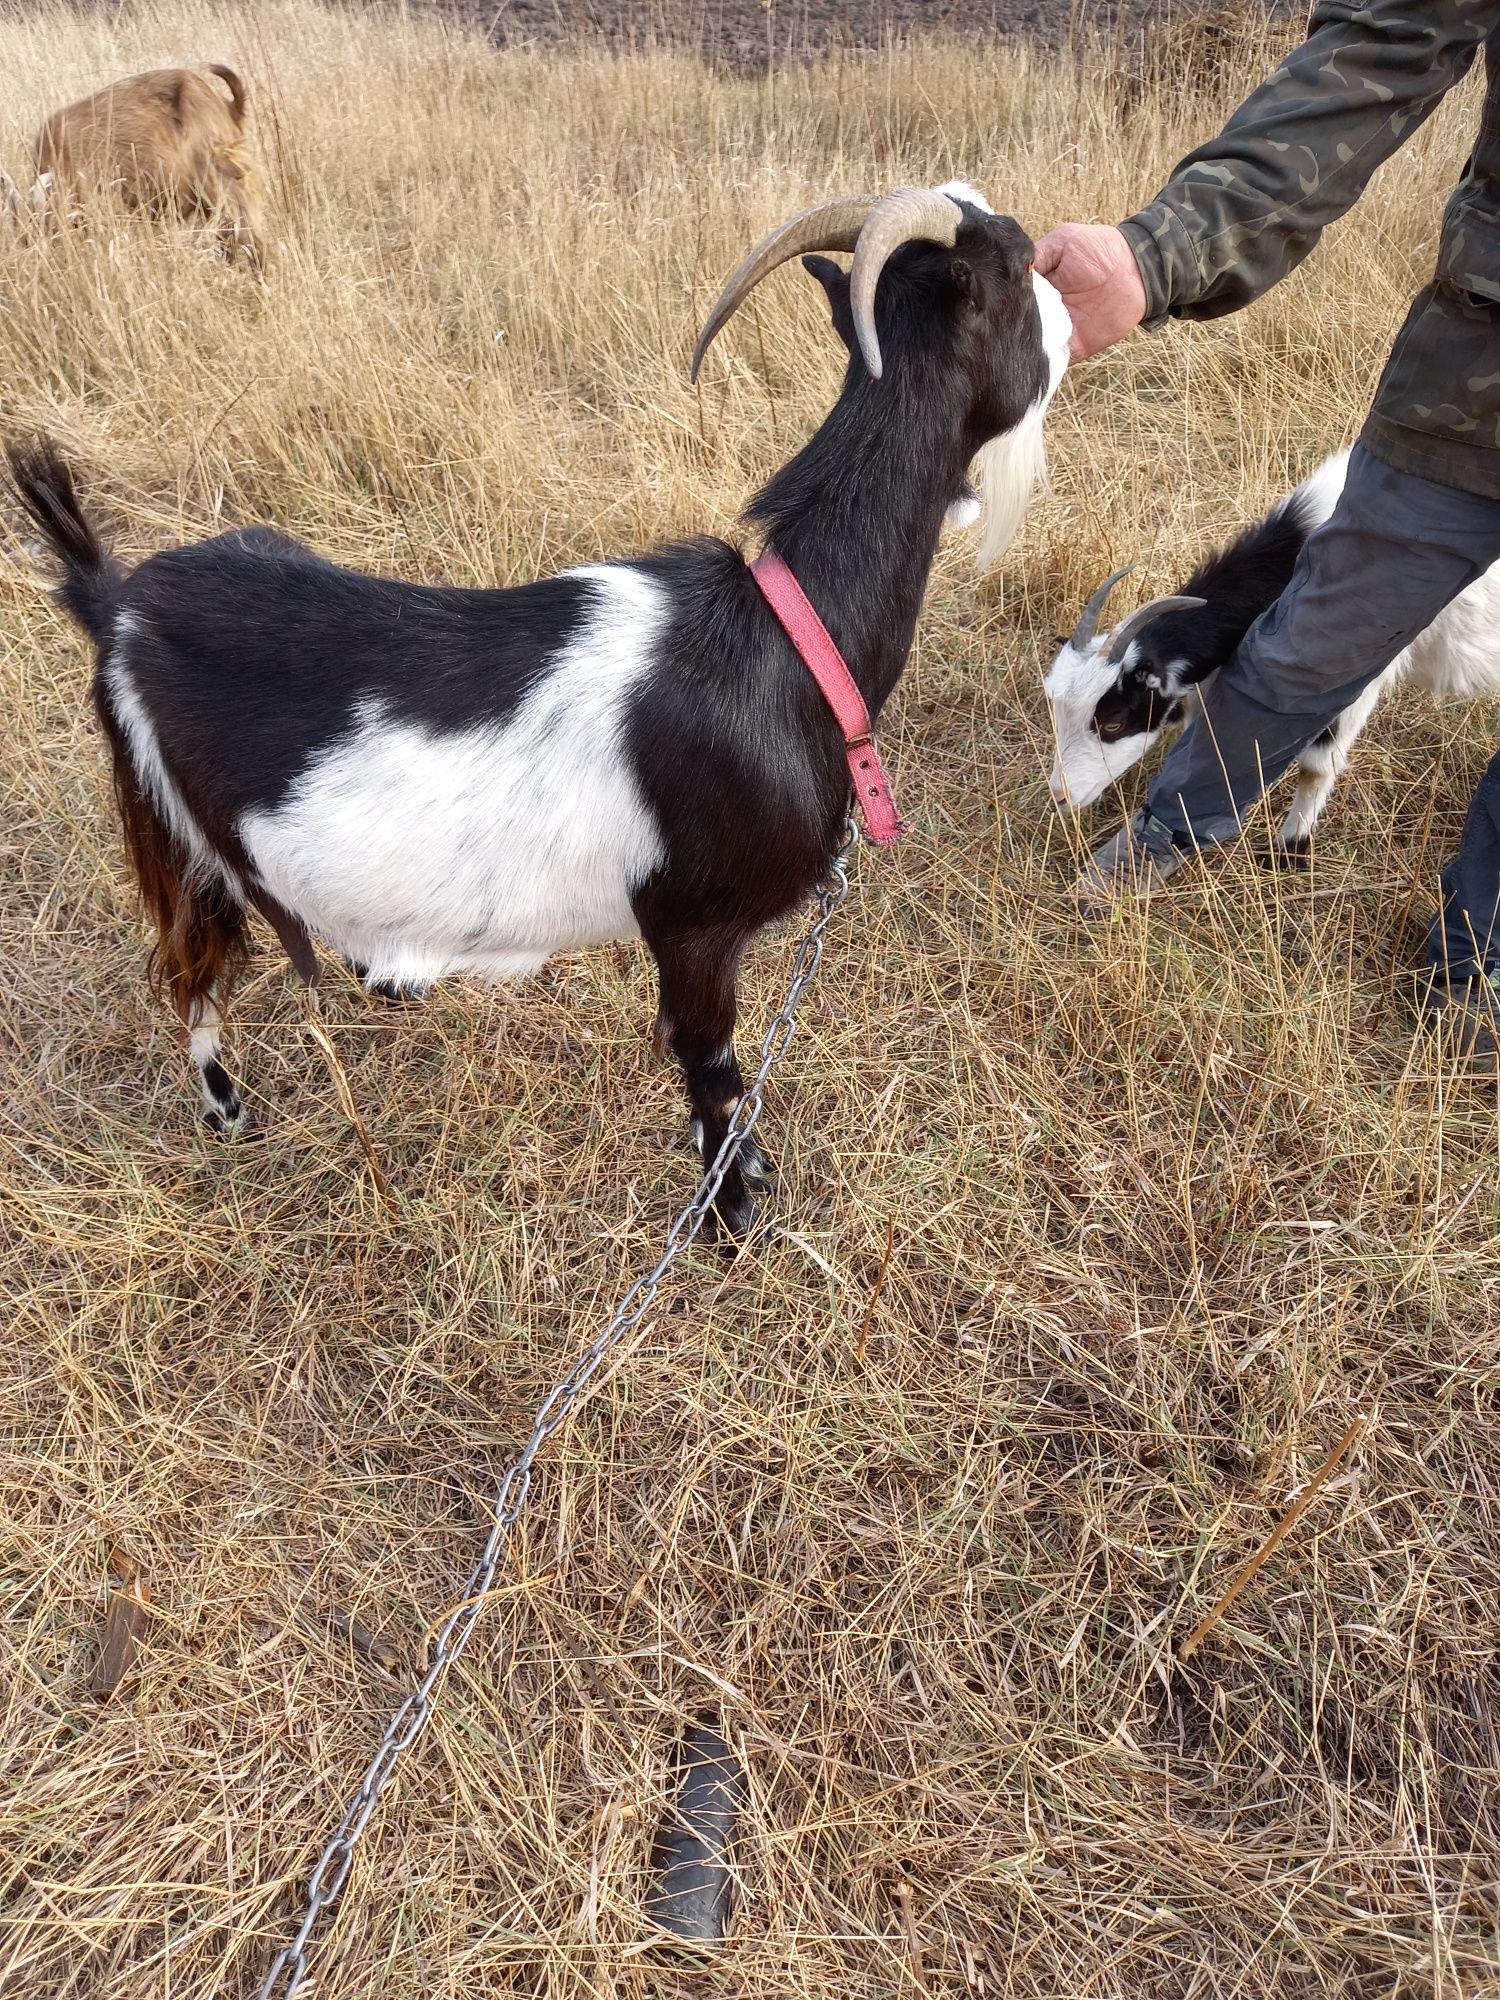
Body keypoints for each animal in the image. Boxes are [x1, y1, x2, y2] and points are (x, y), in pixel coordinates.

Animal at [5, 180, 1072, 1232]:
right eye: (1020, 265)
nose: (1071, 301)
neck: (786, 637)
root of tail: (116, 603)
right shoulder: (693, 929)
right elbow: (713, 1070)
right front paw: (733, 1217)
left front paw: (748, 1181)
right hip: (171, 830)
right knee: (192, 967)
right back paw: (227, 1109)